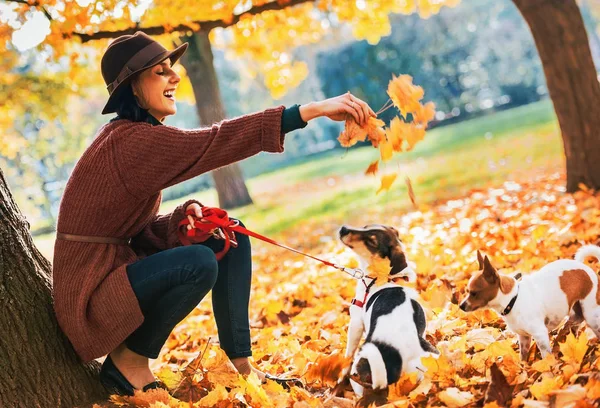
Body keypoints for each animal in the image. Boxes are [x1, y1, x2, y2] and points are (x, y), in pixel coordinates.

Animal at [338, 226, 436, 404]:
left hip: (359, 371)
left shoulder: (356, 324)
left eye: (371, 241)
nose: (343, 229)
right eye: (365, 226)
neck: (387, 278)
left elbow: (348, 352)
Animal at [462, 247, 596, 358]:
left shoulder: (540, 335)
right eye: (466, 291)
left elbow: (546, 357)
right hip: (575, 311)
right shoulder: (524, 338)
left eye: (474, 293)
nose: (461, 305)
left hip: (591, 314)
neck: (513, 300)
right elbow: (523, 358)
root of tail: (582, 267)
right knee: (574, 323)